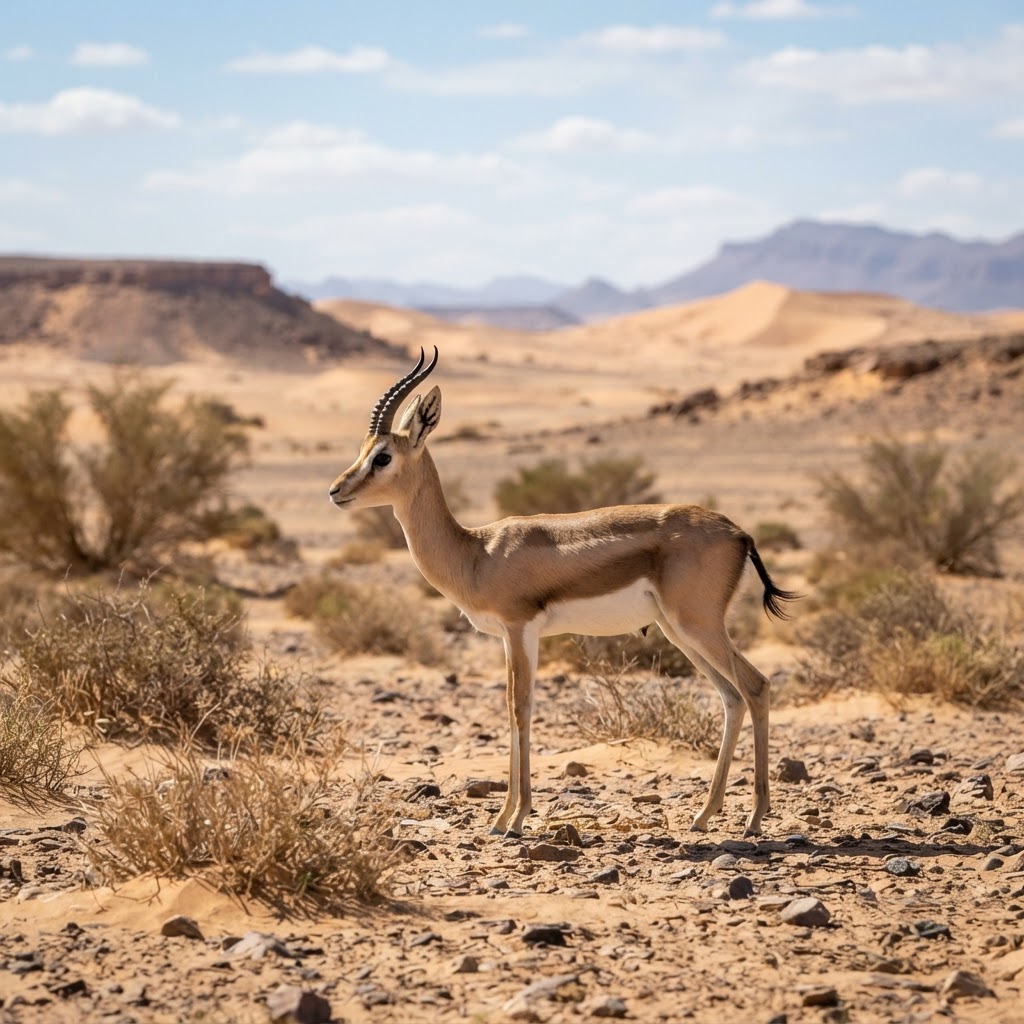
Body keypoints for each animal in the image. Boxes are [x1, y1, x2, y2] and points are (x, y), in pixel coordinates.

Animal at [329, 348, 797, 838]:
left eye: (382, 457)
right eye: (362, 451)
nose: (335, 491)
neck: (477, 552)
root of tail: (738, 532)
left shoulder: (520, 628)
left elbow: (521, 707)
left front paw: (515, 819)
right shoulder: (507, 637)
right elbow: (510, 707)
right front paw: (502, 818)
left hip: (698, 625)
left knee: (755, 686)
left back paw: (754, 819)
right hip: (679, 631)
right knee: (731, 697)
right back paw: (704, 815)